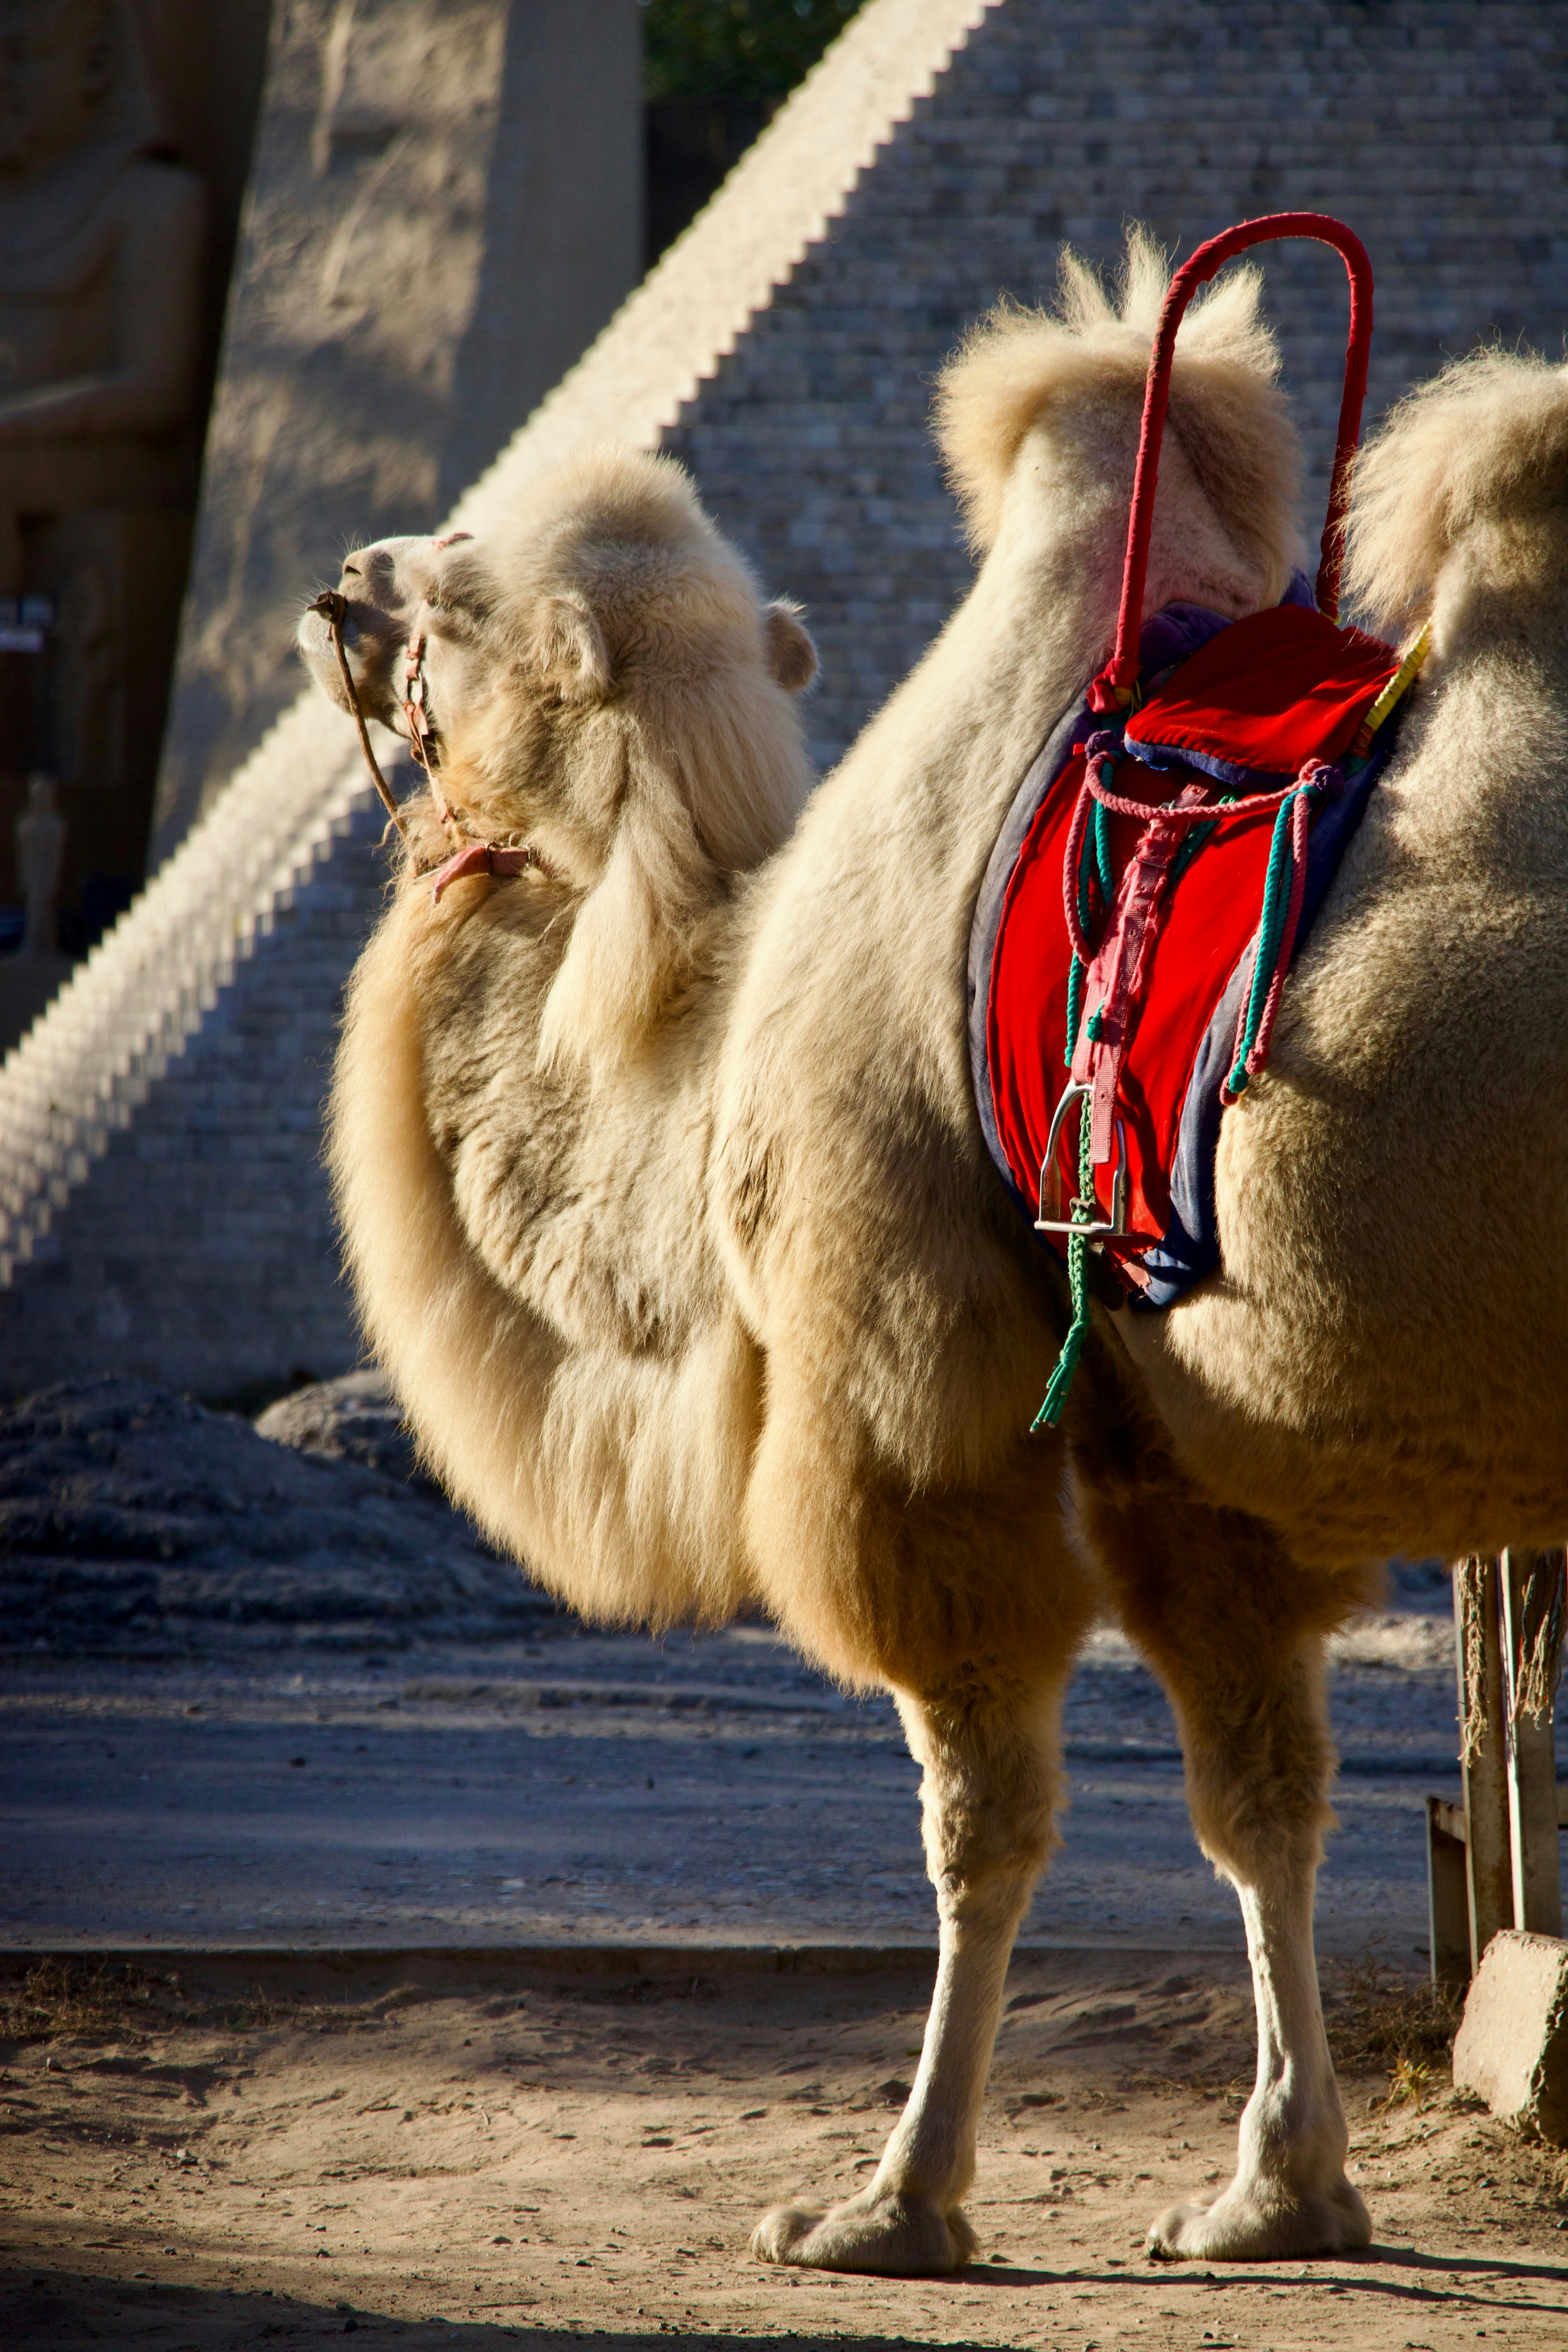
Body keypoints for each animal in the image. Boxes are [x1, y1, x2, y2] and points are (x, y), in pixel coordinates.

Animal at [298, 239, 1568, 2274]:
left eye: (465, 601)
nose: (341, 585)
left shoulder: (907, 1392)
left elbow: (978, 1825)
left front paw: (889, 2201)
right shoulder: (1167, 1432)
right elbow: (1258, 1803)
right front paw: (1273, 2193)